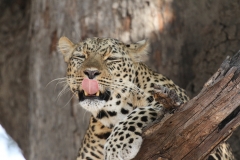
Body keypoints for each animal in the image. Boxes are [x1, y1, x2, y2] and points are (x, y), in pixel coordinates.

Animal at [57, 36, 234, 160]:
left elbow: (144, 111)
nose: (91, 72)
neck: (111, 115)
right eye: (80, 56)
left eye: (111, 58)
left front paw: (117, 146)